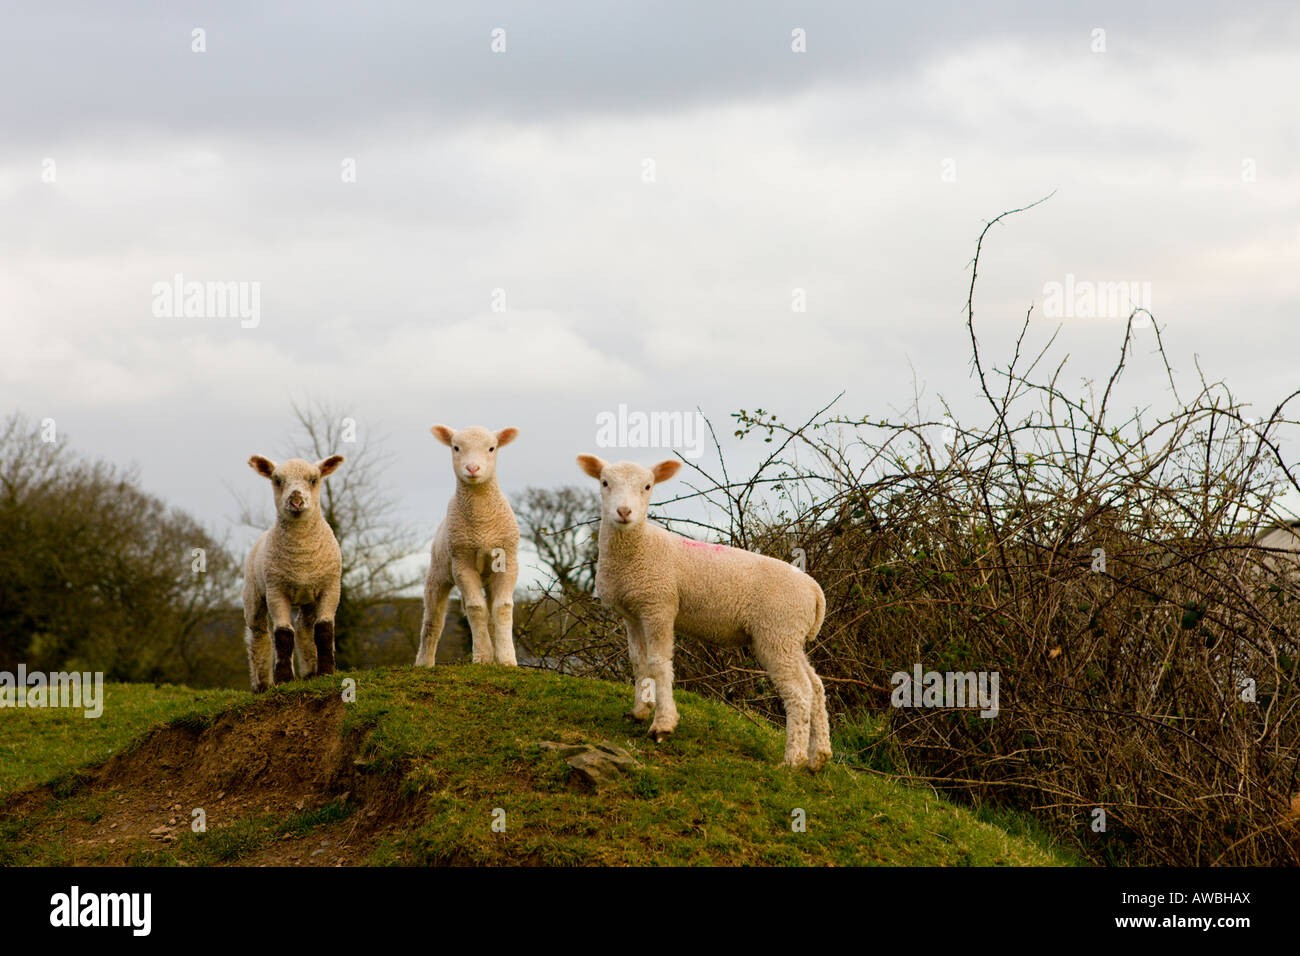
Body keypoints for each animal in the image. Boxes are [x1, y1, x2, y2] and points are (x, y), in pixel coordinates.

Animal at [241, 452, 345, 691]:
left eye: (314, 479)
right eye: (277, 480)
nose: (296, 501)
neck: (301, 559)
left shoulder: (330, 587)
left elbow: (324, 629)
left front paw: (326, 671)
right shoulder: (276, 590)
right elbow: (283, 634)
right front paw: (284, 678)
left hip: (309, 596)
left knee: (305, 627)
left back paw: (310, 672)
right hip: (253, 593)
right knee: (259, 636)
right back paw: (262, 684)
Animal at [413, 421, 520, 671]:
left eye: (492, 448)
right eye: (456, 447)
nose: (472, 468)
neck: (482, 521)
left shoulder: (508, 561)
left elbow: (502, 608)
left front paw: (507, 659)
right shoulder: (462, 563)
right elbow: (476, 609)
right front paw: (482, 657)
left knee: (491, 614)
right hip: (438, 574)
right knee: (432, 621)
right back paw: (424, 663)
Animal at [577, 452, 832, 775]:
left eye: (648, 486)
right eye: (604, 482)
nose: (624, 512)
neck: (639, 547)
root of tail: (813, 589)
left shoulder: (659, 605)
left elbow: (659, 663)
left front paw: (662, 724)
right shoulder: (633, 613)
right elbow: (638, 661)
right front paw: (639, 710)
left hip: (777, 630)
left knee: (798, 692)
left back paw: (792, 760)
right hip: (789, 636)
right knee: (815, 686)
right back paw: (818, 757)